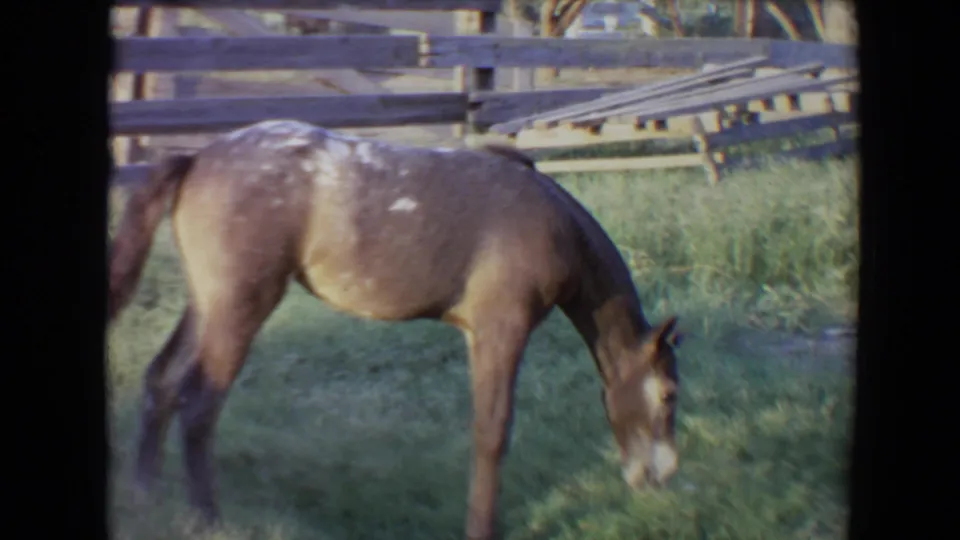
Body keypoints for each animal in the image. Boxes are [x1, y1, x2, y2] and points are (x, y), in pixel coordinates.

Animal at [108, 119, 683, 540]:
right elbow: (492, 433)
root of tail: (197, 159)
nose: (662, 476)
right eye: (669, 395)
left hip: (205, 304)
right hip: (238, 308)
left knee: (161, 381)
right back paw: (207, 518)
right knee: (200, 404)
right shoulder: (500, 329)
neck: (555, 223)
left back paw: (143, 494)